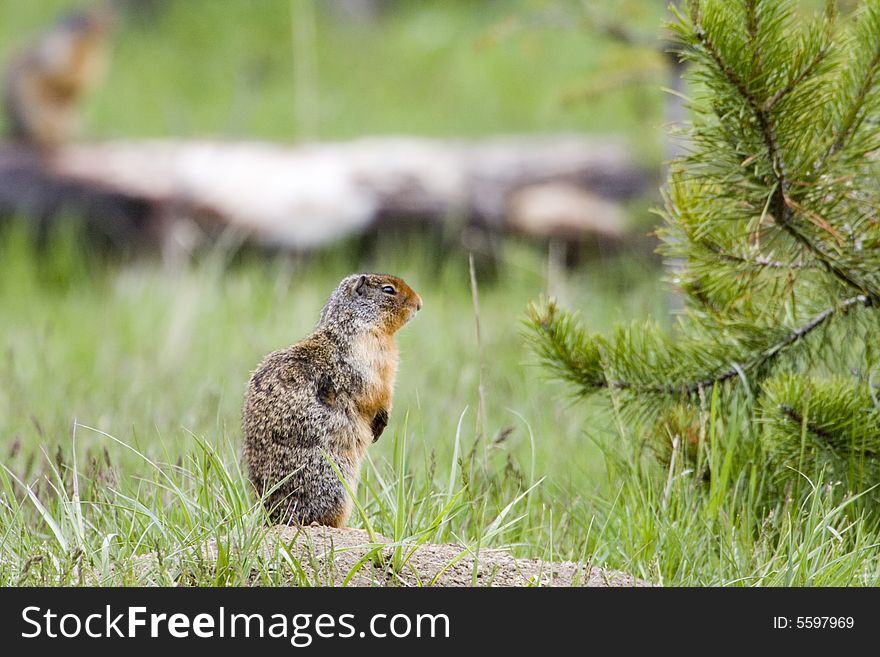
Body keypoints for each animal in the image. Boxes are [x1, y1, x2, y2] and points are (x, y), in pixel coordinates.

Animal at [3, 6, 115, 148]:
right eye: (84, 18)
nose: (112, 19)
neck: (87, 48)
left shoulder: (97, 62)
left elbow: (86, 81)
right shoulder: (58, 52)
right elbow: (59, 74)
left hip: (73, 118)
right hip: (31, 112)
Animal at [241, 274, 420, 524]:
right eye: (388, 290)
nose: (419, 303)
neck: (355, 325)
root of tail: (276, 517)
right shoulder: (370, 361)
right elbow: (376, 392)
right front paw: (381, 420)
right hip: (336, 482)